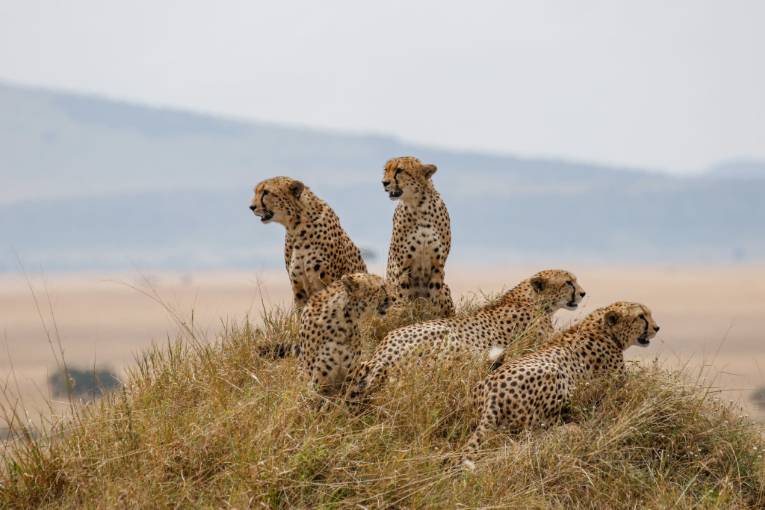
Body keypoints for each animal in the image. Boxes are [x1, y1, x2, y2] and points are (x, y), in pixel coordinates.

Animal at [251, 177, 368, 308]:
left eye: (266, 192)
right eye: (256, 191)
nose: (251, 207)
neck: (295, 228)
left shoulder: (330, 282)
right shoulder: (298, 288)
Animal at [382, 157, 454, 318]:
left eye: (399, 170)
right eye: (385, 170)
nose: (384, 182)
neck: (419, 207)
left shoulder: (438, 265)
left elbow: (434, 296)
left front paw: (432, 316)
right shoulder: (402, 265)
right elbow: (403, 294)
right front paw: (403, 313)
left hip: (446, 287)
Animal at [460, 298, 664, 470]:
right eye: (641, 316)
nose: (657, 327)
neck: (605, 329)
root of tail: (491, 391)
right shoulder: (618, 387)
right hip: (554, 373)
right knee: (531, 432)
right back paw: (569, 426)